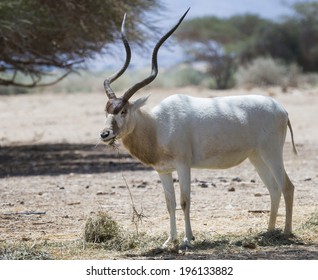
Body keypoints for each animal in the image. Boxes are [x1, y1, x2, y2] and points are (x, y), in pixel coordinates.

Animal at [99, 8, 296, 247]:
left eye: (123, 111)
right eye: (107, 110)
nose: (105, 134)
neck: (158, 125)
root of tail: (282, 109)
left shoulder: (184, 166)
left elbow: (185, 201)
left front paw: (187, 240)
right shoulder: (163, 170)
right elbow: (170, 203)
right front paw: (169, 240)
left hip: (271, 152)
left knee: (287, 186)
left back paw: (285, 232)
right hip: (256, 156)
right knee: (274, 188)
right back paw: (268, 232)